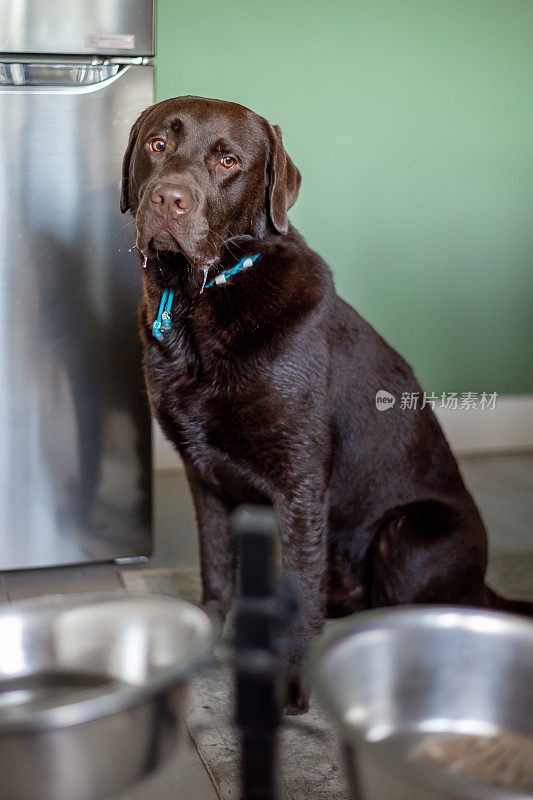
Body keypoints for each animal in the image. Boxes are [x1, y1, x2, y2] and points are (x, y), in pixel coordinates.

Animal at [119, 95, 528, 712]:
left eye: (228, 161)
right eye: (157, 145)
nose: (168, 198)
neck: (199, 306)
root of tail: (483, 584)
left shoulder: (300, 480)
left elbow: (302, 586)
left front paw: (291, 689)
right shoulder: (204, 477)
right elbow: (216, 572)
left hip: (409, 532)